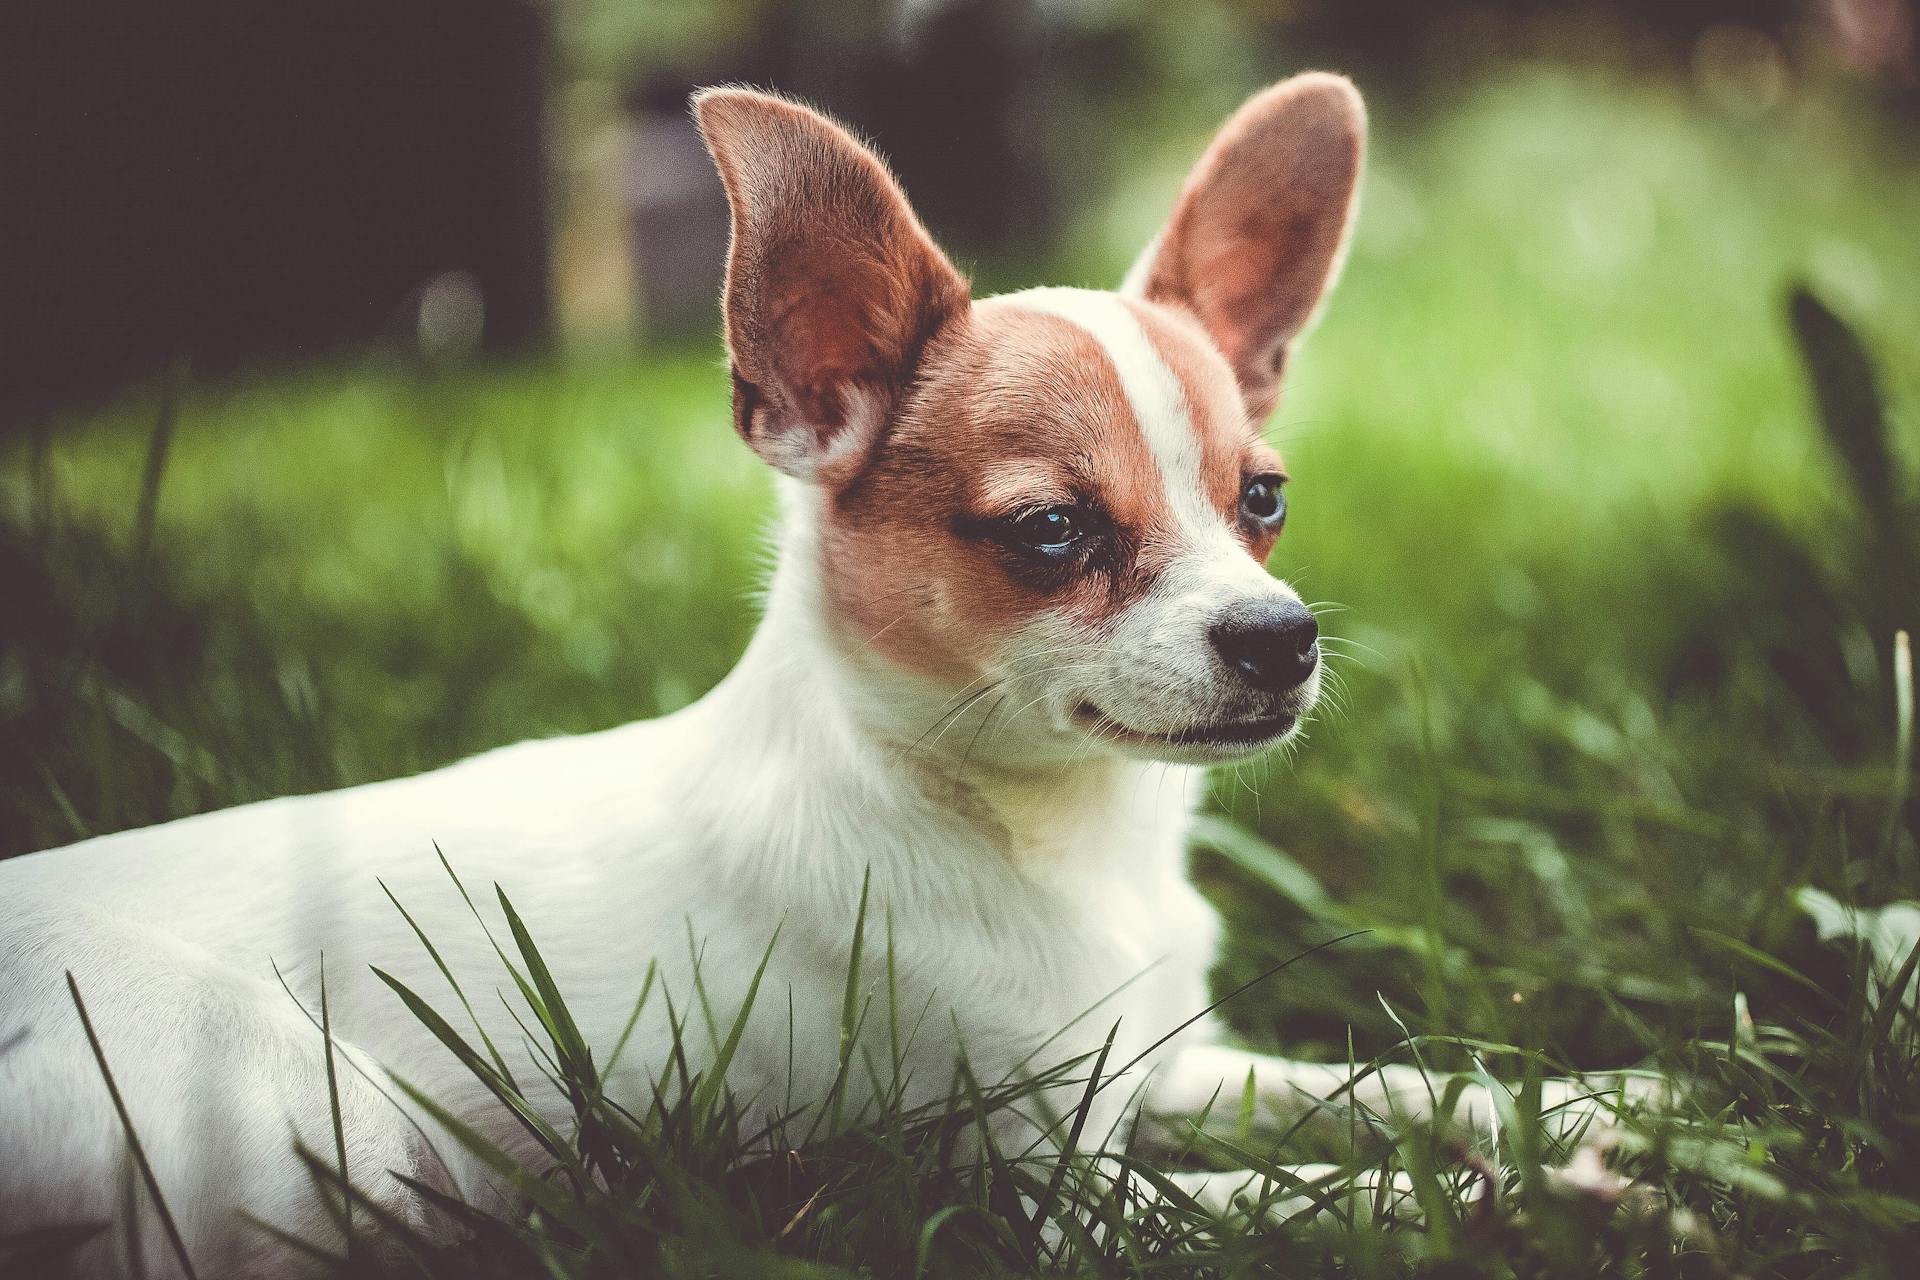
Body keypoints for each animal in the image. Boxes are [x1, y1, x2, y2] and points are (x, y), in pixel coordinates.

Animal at [0, 77, 1651, 1274]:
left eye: (1266, 501)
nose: (1279, 636)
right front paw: (1560, 1192)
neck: (1061, 843)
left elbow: (1383, 1085)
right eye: (1050, 532)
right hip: (300, 1110)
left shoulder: (1166, 1069)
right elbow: (1322, 1190)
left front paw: (1604, 1102)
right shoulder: (1052, 1194)